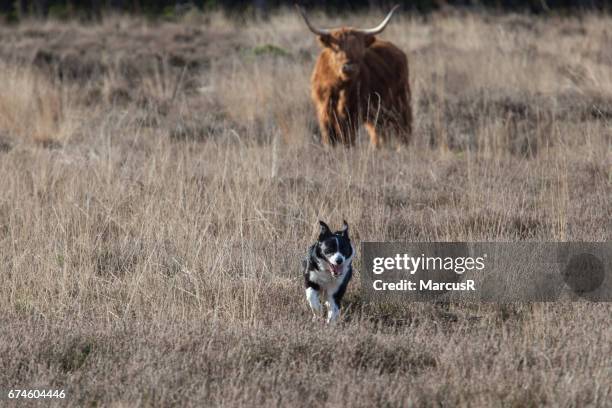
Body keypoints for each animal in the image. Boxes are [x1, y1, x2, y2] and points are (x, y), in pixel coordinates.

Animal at [296, 5, 412, 148]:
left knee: (403, 129)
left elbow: (348, 138)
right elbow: (329, 138)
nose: (350, 66)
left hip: (400, 103)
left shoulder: (353, 113)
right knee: (378, 132)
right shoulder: (324, 110)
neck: (340, 88)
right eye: (336, 48)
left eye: (360, 49)